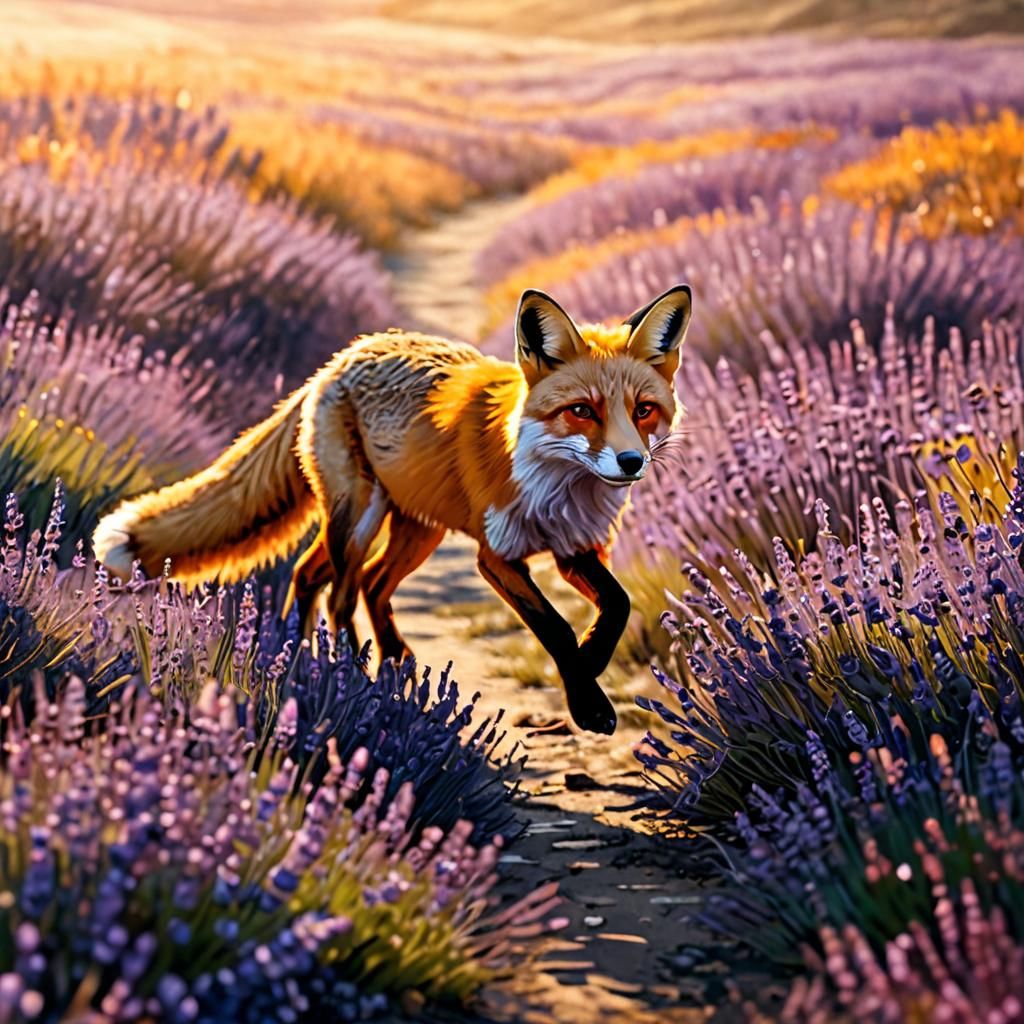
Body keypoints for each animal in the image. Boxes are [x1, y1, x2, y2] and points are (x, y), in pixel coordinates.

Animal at [92, 284, 691, 734]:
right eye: (582, 411)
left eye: (643, 410)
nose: (631, 462)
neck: (558, 484)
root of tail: (342, 358)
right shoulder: (497, 557)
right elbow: (556, 628)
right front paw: (587, 701)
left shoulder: (574, 549)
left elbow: (616, 607)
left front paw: (591, 667)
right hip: (360, 516)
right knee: (340, 595)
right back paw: (345, 674)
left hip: (414, 531)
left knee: (346, 581)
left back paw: (339, 659)